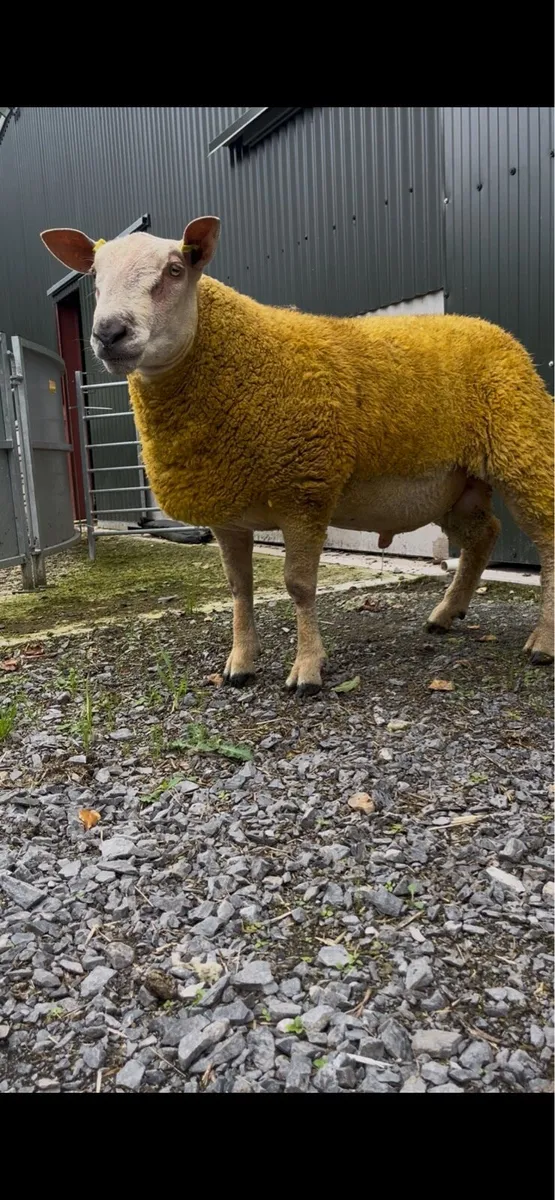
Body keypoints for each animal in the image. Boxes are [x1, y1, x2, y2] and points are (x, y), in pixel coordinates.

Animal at [41, 217, 554, 695]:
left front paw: (307, 670)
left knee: (544, 539)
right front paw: (240, 664)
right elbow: (240, 588)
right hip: (456, 484)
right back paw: (446, 613)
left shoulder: (304, 490)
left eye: (174, 269)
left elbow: (299, 585)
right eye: (94, 276)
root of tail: (493, 331)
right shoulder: (227, 510)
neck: (238, 361)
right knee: (483, 535)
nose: (109, 332)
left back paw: (542, 643)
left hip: (522, 448)